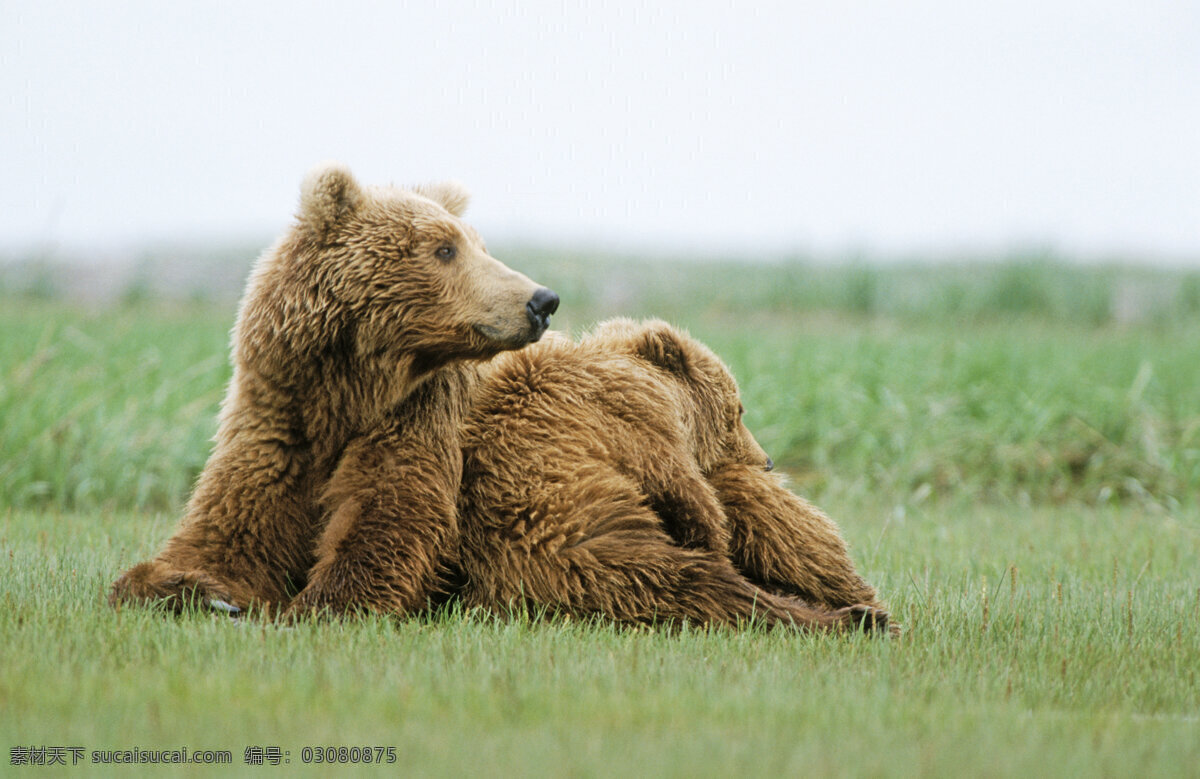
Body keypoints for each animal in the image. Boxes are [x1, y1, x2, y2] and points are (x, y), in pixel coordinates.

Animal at [110, 162, 559, 614]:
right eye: (445, 249)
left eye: (478, 245)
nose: (542, 300)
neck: (343, 394)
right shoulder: (279, 420)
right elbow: (231, 530)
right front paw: (188, 587)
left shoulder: (418, 413)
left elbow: (388, 520)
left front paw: (310, 605)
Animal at [453, 319, 888, 628]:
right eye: (739, 410)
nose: (766, 461)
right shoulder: (633, 419)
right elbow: (690, 497)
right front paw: (717, 534)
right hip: (599, 546)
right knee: (703, 585)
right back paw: (856, 618)